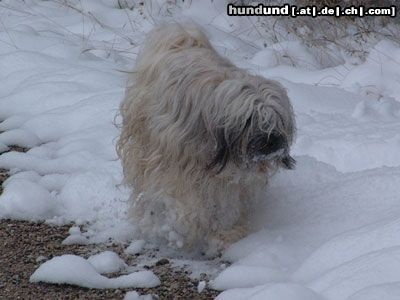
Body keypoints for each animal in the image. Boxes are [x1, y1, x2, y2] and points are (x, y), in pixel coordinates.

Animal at [117, 22, 296, 254]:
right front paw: (174, 228)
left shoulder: (229, 181)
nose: (272, 143)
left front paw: (225, 233)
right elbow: (181, 200)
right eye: (249, 120)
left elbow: (226, 203)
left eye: (277, 119)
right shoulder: (175, 165)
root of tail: (183, 41)